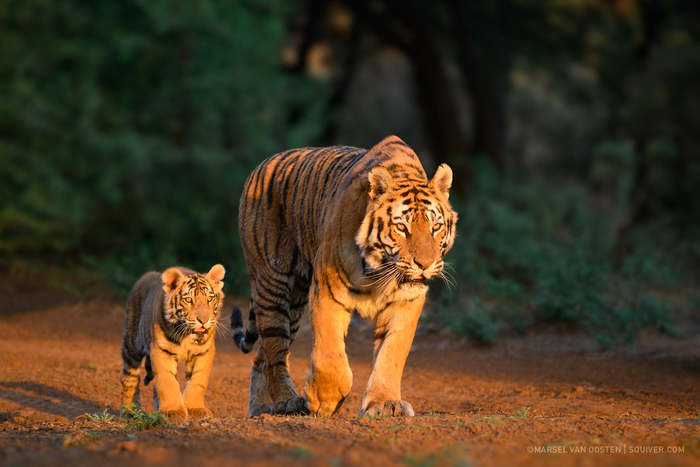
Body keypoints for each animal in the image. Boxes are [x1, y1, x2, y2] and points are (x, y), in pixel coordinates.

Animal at [232, 135, 456, 416]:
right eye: (401, 228)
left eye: (435, 227)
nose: (425, 264)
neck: (381, 268)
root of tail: (261, 165)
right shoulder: (328, 290)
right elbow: (330, 352)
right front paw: (323, 399)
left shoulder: (405, 302)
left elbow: (391, 354)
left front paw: (386, 403)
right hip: (273, 283)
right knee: (274, 352)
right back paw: (287, 400)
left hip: (294, 303)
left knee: (262, 356)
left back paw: (261, 407)